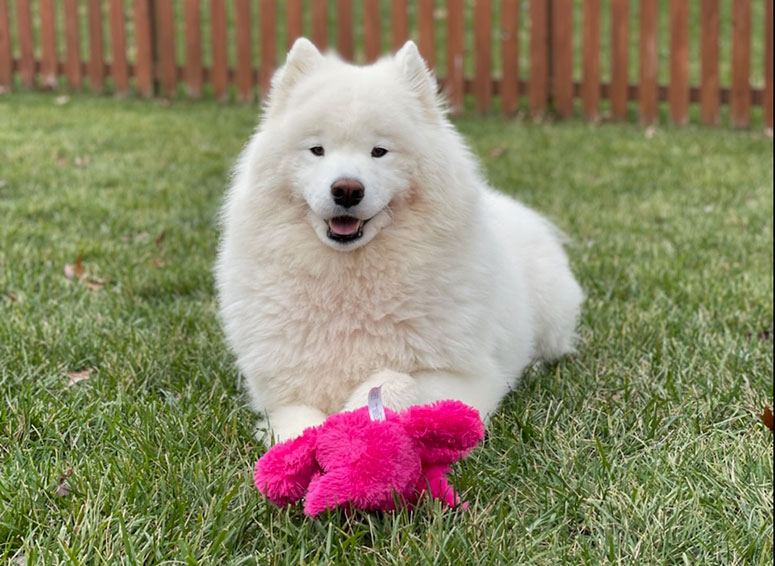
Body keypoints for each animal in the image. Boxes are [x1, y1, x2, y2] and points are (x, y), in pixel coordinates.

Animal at [215, 38, 584, 444]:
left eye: (379, 151)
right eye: (317, 150)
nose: (347, 189)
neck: (349, 282)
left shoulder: (463, 378)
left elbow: (391, 381)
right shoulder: (282, 394)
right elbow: (300, 425)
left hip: (552, 314)